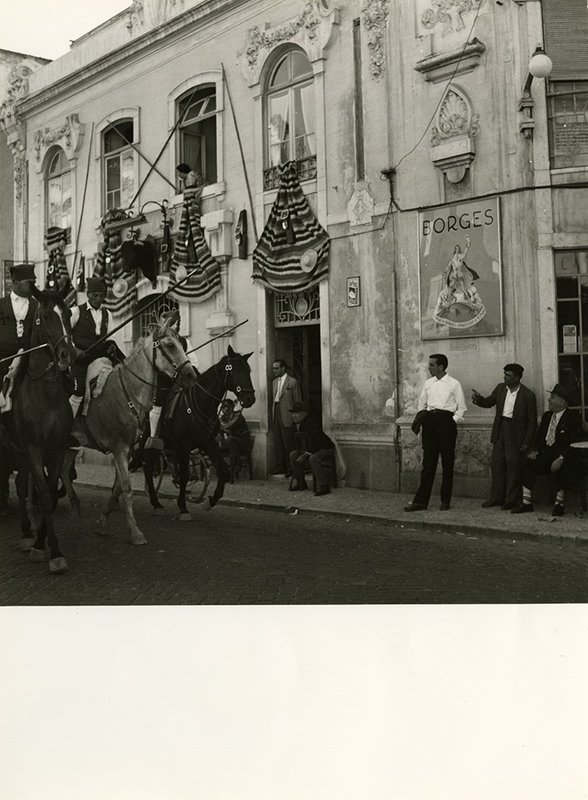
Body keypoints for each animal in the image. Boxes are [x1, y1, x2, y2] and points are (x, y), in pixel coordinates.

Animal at [3, 284, 77, 572]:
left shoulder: (56, 448)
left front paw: (41, 541)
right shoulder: (34, 448)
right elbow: (44, 495)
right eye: (45, 316)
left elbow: (51, 494)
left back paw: (27, 532)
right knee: (20, 486)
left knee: (22, 484)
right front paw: (51, 551)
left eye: (68, 313)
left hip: (20, 451)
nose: (68, 354)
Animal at [60, 316, 199, 548]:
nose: (191, 375)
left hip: (72, 445)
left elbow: (118, 489)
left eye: (182, 343)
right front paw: (135, 532)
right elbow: (126, 488)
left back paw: (74, 505)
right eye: (170, 345)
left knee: (62, 472)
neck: (128, 393)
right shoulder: (119, 449)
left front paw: (103, 521)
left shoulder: (128, 450)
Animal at [143, 344, 255, 520]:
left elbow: (223, 471)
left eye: (248, 371)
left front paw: (210, 501)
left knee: (147, 468)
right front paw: (183, 508)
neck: (201, 402)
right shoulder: (183, 447)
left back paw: (156, 503)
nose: (250, 398)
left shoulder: (207, 443)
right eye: (235, 371)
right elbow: (183, 477)